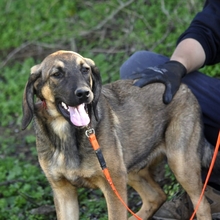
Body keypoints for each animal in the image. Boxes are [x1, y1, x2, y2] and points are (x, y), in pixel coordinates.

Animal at [21, 50, 216, 219]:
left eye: (85, 70)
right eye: (57, 74)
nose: (84, 93)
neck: (66, 135)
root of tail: (184, 86)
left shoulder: (113, 185)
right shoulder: (63, 191)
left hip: (180, 163)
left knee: (202, 205)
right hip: (131, 166)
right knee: (156, 196)